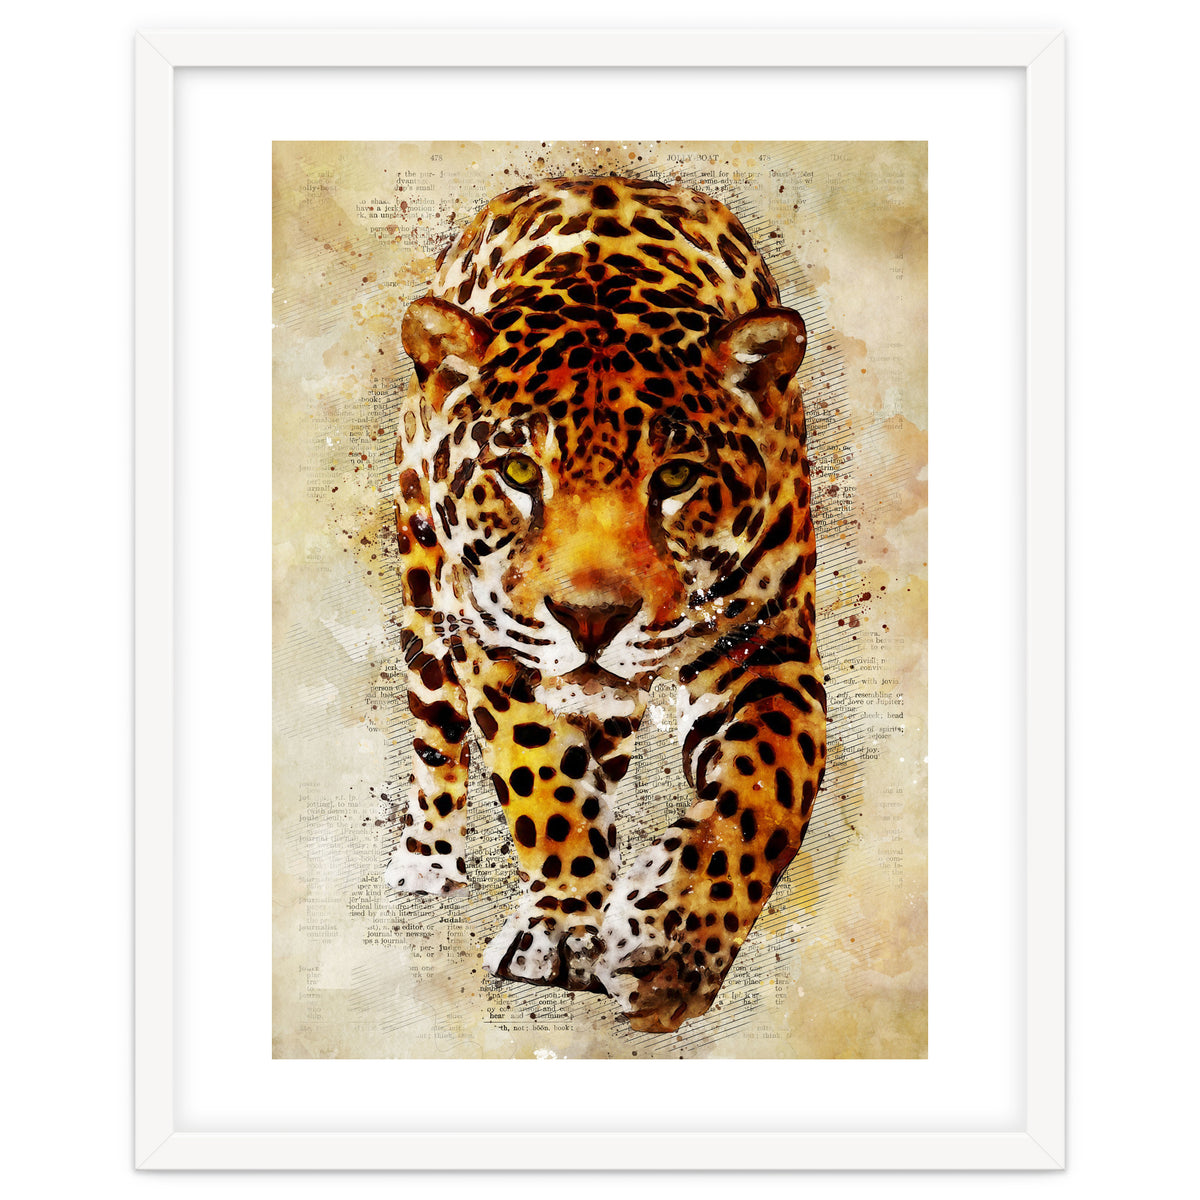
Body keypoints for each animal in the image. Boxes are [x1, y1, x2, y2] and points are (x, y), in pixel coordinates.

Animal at [384, 175, 826, 1033]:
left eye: (677, 476)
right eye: (519, 472)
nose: (591, 619)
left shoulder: (769, 644)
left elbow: (767, 790)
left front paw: (668, 945)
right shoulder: (497, 640)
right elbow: (540, 774)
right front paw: (562, 928)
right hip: (426, 599)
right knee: (436, 733)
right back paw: (427, 860)